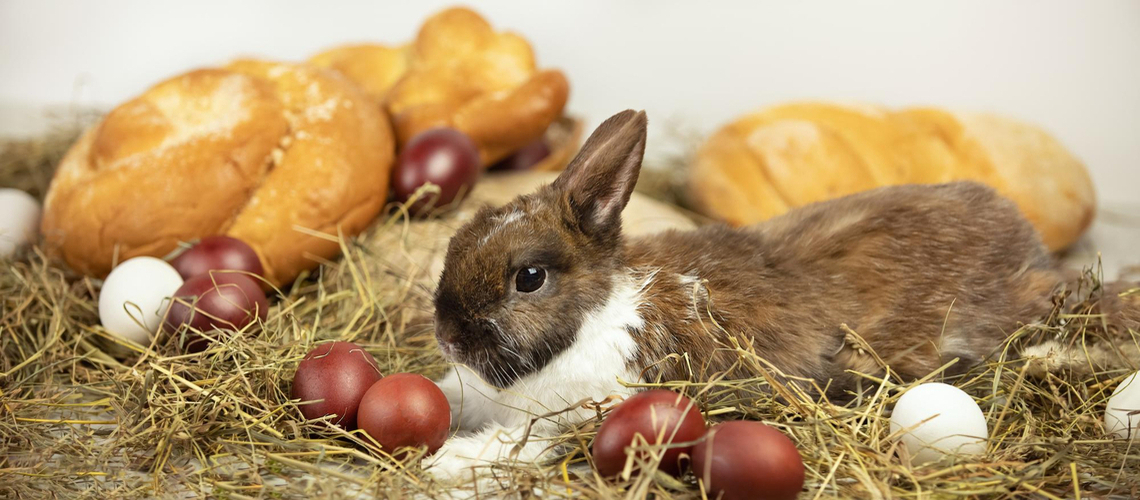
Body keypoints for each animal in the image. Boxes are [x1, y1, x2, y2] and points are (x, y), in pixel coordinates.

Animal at [426, 108, 1094, 480]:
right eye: (458, 239)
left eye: (529, 277)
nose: (448, 336)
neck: (593, 320)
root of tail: (1032, 252)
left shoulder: (594, 412)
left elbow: (523, 441)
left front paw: (445, 464)